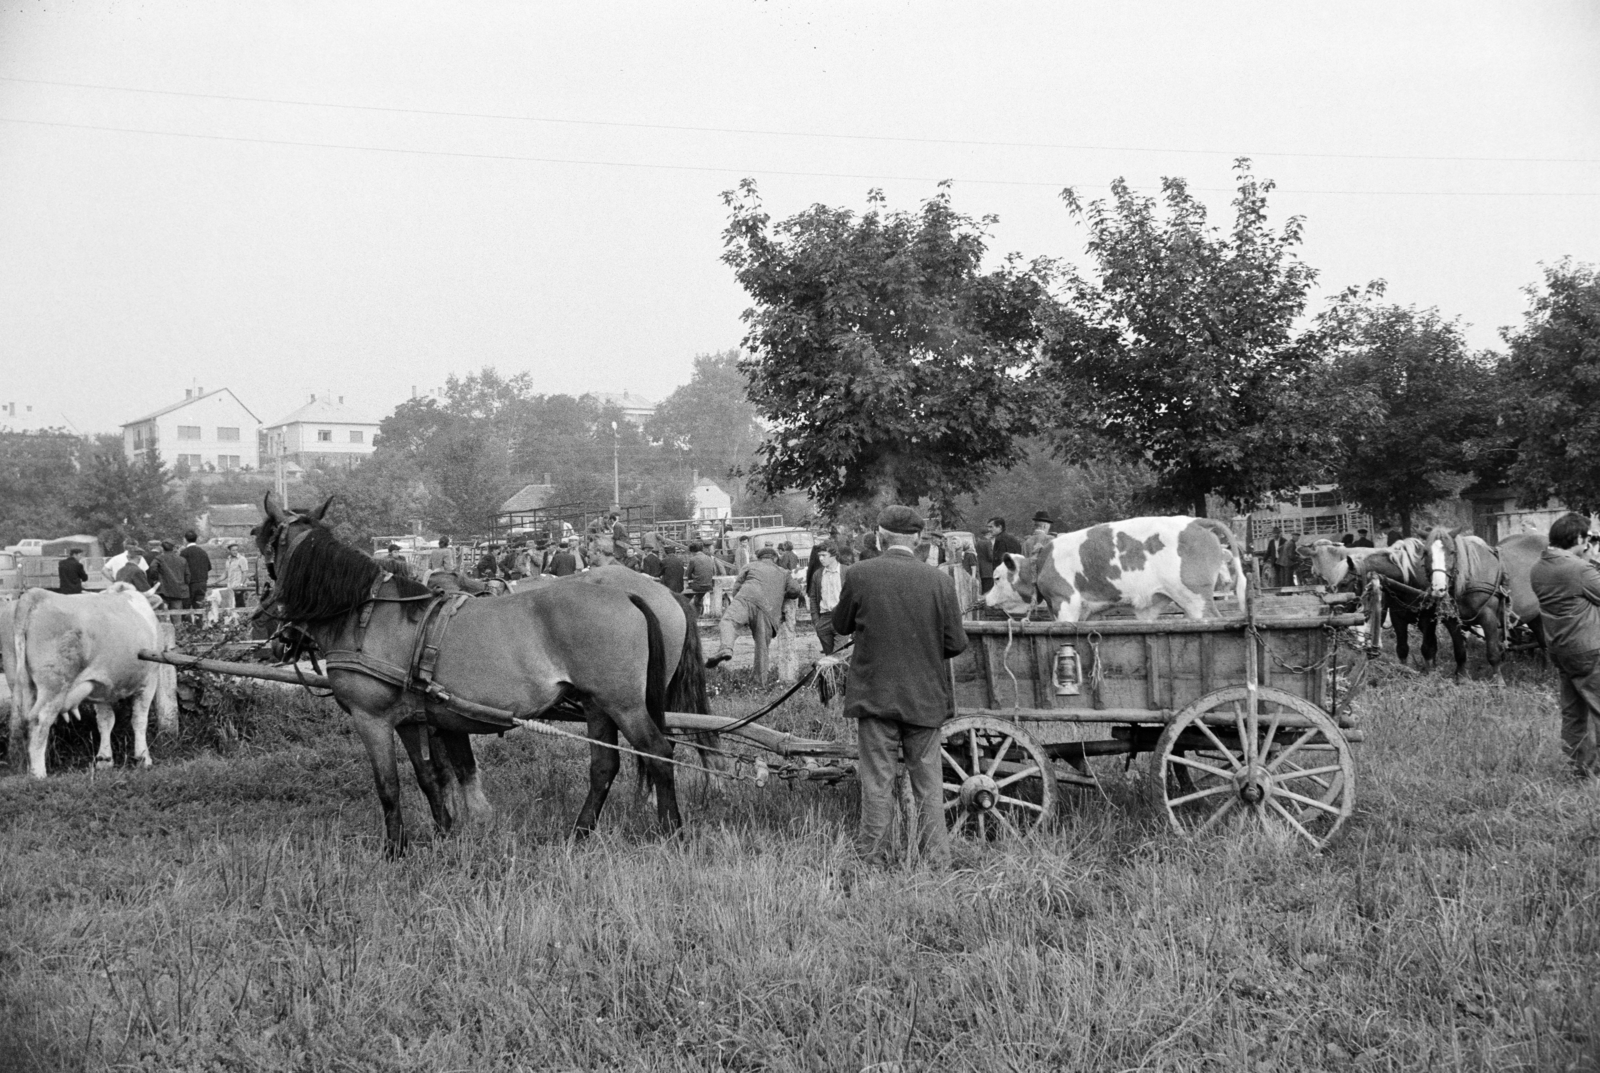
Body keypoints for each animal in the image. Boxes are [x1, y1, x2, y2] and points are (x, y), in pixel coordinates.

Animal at [8, 582, 170, 777]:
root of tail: (37, 594)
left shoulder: (102, 686)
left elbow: (105, 721)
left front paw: (104, 760)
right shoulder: (149, 680)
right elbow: (139, 720)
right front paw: (143, 758)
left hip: (25, 686)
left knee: (23, 722)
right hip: (54, 686)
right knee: (39, 720)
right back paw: (39, 772)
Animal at [257, 495, 681, 857]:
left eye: (264, 543)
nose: (277, 634)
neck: (367, 615)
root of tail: (628, 595)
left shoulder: (371, 719)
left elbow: (388, 786)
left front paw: (395, 850)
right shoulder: (410, 720)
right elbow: (428, 776)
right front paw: (444, 832)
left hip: (623, 704)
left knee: (659, 752)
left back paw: (672, 828)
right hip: (597, 706)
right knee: (604, 766)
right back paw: (580, 831)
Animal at [985, 518, 1248, 626]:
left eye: (997, 578)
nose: (984, 598)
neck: (1042, 562)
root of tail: (1195, 522)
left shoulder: (1065, 603)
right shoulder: (1090, 611)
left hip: (1195, 598)